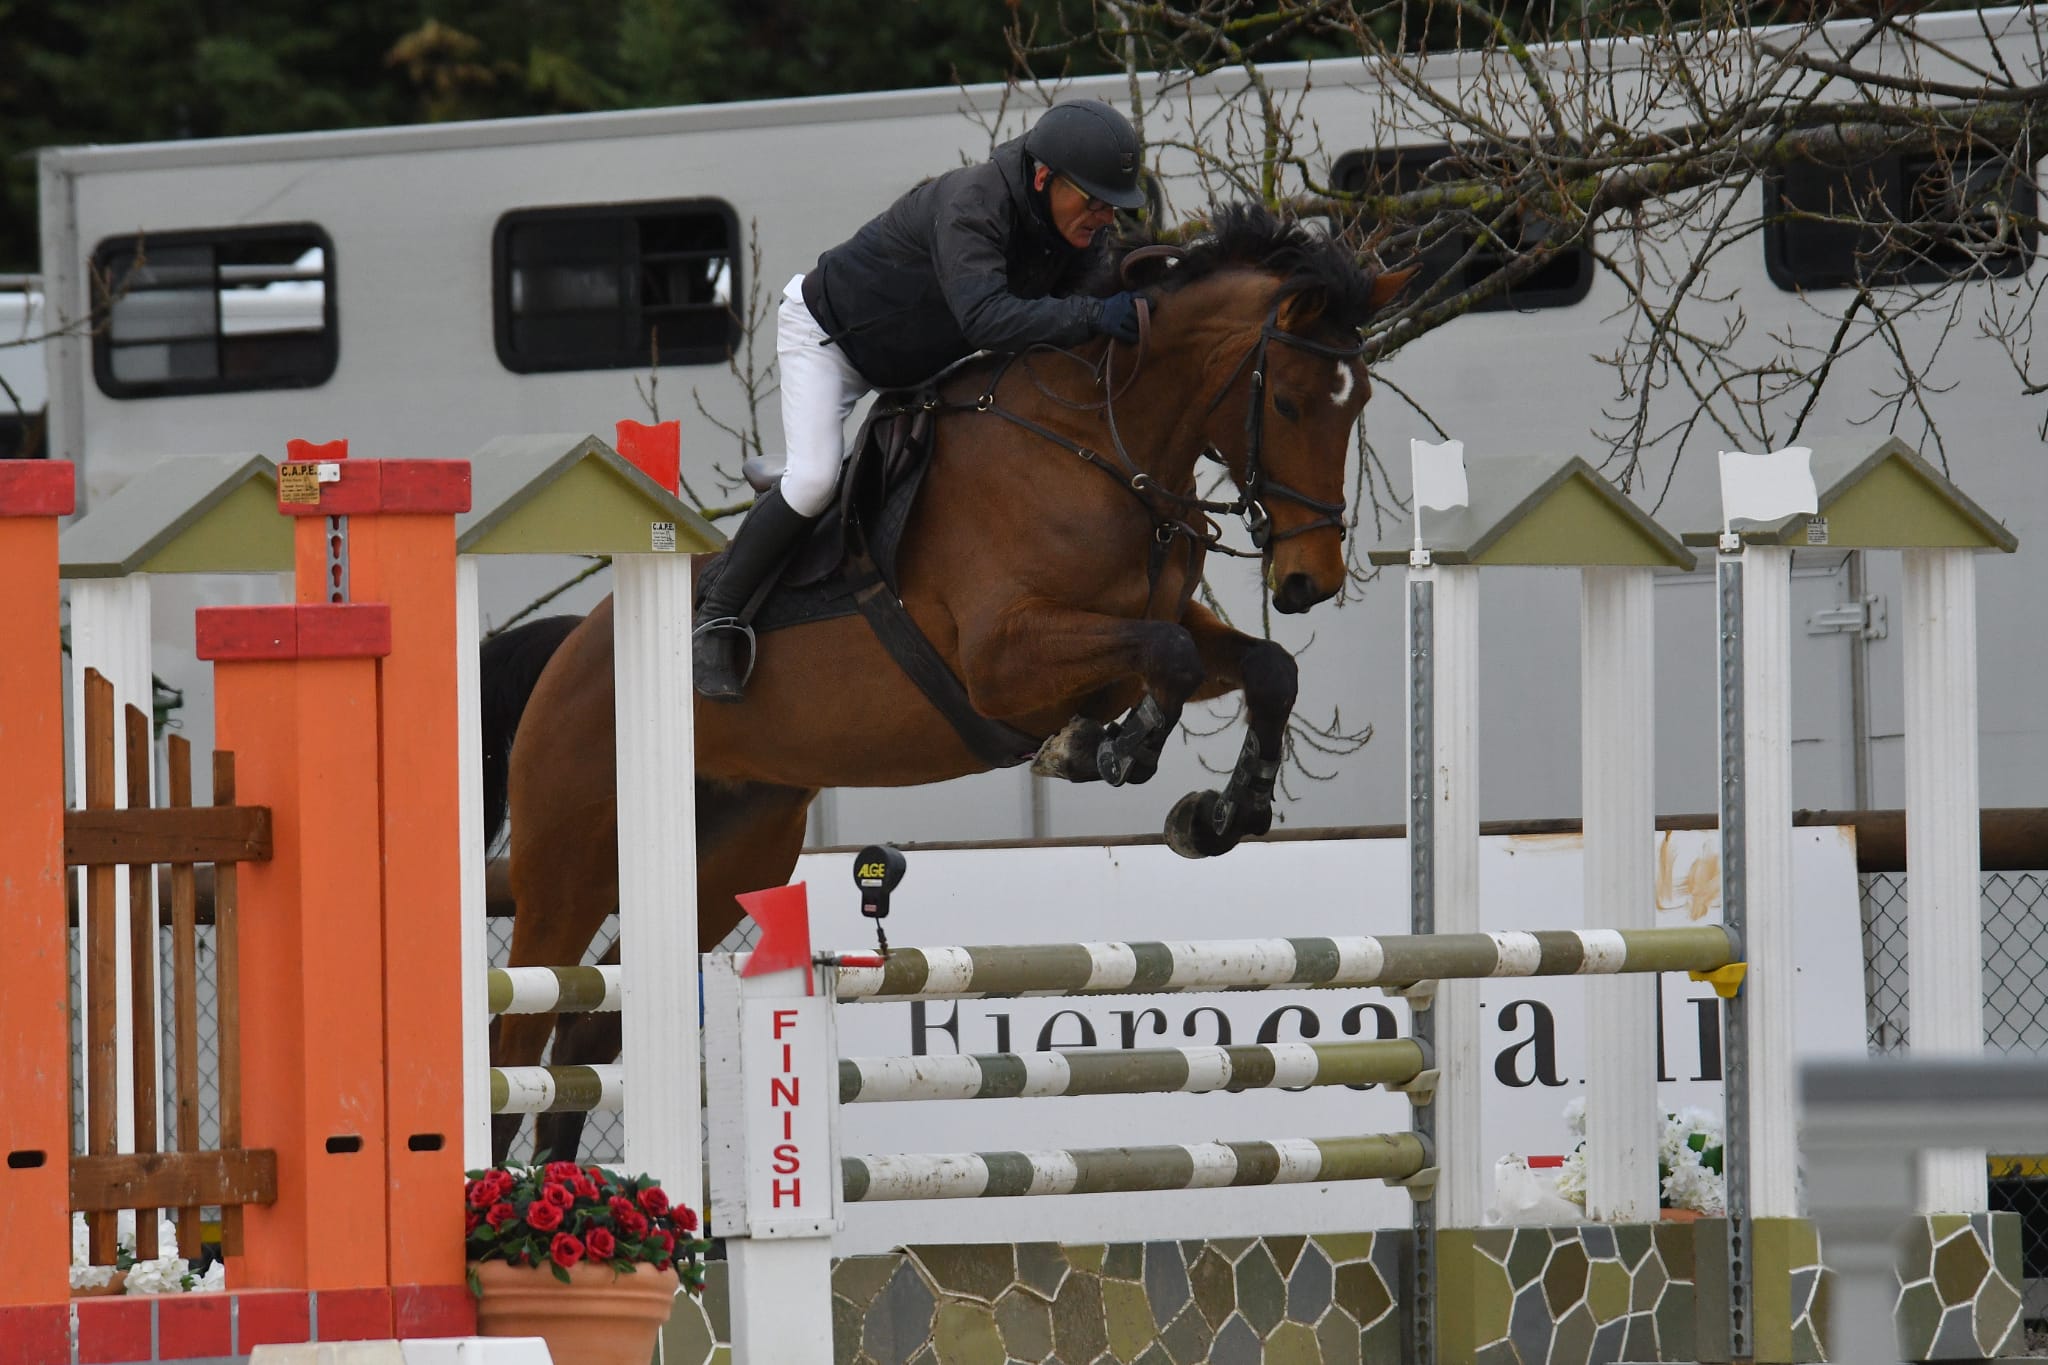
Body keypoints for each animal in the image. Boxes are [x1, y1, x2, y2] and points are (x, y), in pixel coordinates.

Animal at [481, 204, 1411, 1162]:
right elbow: (1166, 659)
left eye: (1359, 405)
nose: (1309, 581)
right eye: (1288, 400)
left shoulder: (1150, 623)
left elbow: (1262, 665)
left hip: (723, 858)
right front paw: (1105, 751)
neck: (1101, 449)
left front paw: (1223, 812)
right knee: (518, 1035)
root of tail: (568, 646)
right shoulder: (1002, 660)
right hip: (570, 871)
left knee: (590, 1027)